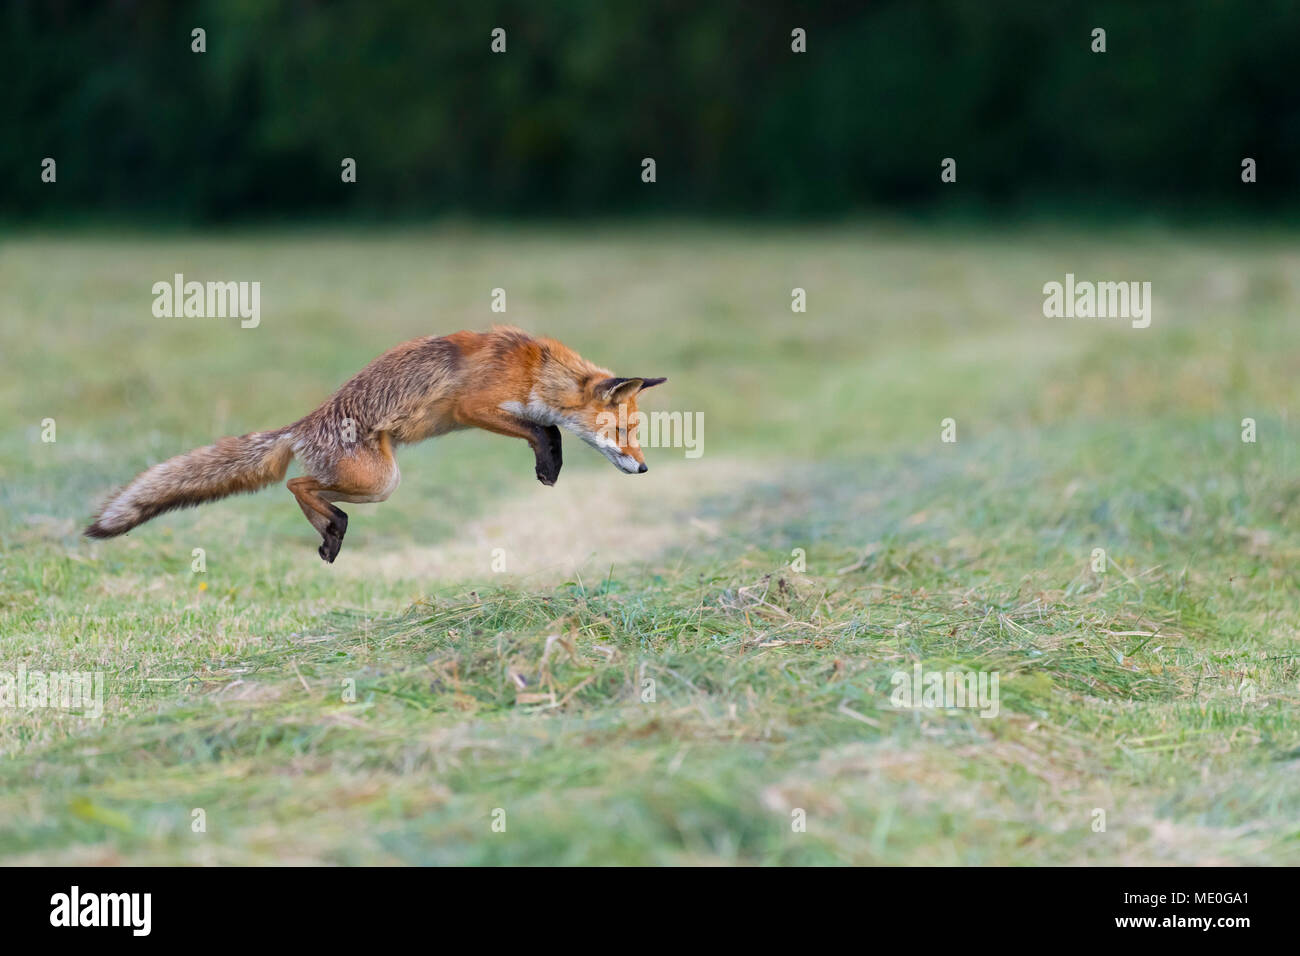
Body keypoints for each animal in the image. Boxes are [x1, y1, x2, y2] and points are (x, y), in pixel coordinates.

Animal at [84, 327, 666, 563]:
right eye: (625, 433)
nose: (643, 470)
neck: (535, 371)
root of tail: (302, 424)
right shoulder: (473, 408)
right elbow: (545, 430)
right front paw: (549, 466)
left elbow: (547, 428)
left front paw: (550, 465)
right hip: (382, 479)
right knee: (299, 483)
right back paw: (332, 530)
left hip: (376, 480)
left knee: (303, 484)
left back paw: (331, 530)